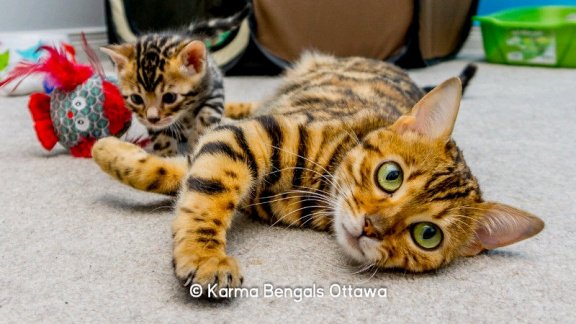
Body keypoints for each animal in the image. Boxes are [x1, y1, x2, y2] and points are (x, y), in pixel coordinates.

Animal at [101, 6, 250, 156]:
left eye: (169, 97)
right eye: (136, 99)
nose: (152, 119)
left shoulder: (215, 90)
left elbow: (205, 117)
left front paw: (197, 144)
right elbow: (162, 137)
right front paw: (168, 156)